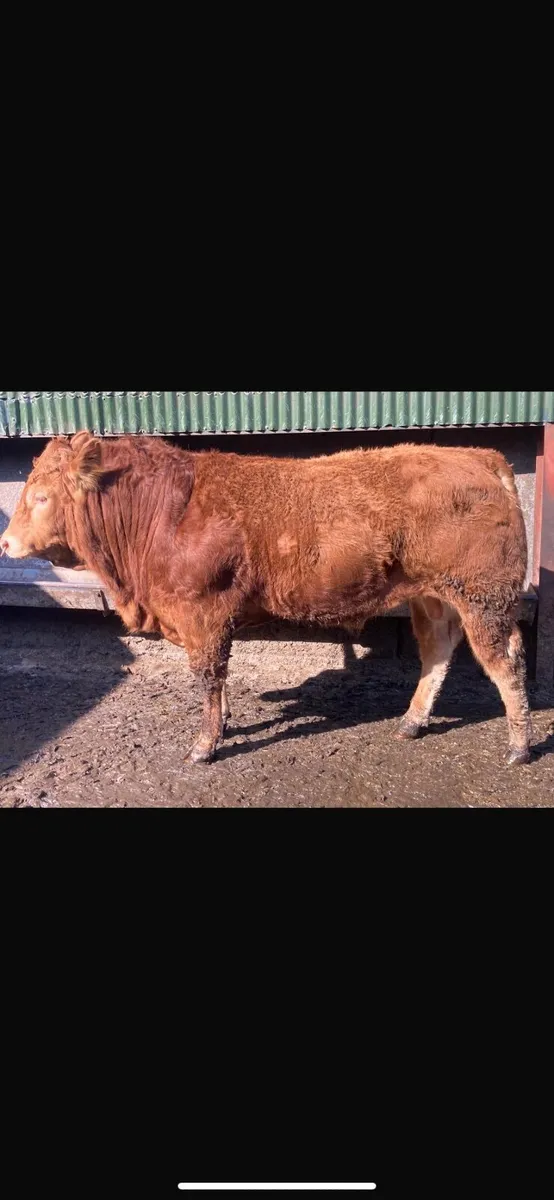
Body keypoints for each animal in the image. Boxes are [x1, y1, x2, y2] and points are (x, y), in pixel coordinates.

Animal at [1, 433, 533, 766]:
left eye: (42, 497)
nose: (5, 542)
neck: (165, 509)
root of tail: (480, 456)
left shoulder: (203, 611)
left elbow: (208, 676)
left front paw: (205, 745)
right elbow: (218, 678)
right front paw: (224, 725)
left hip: (485, 597)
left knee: (506, 662)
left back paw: (519, 746)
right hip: (433, 596)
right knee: (437, 650)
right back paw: (413, 721)